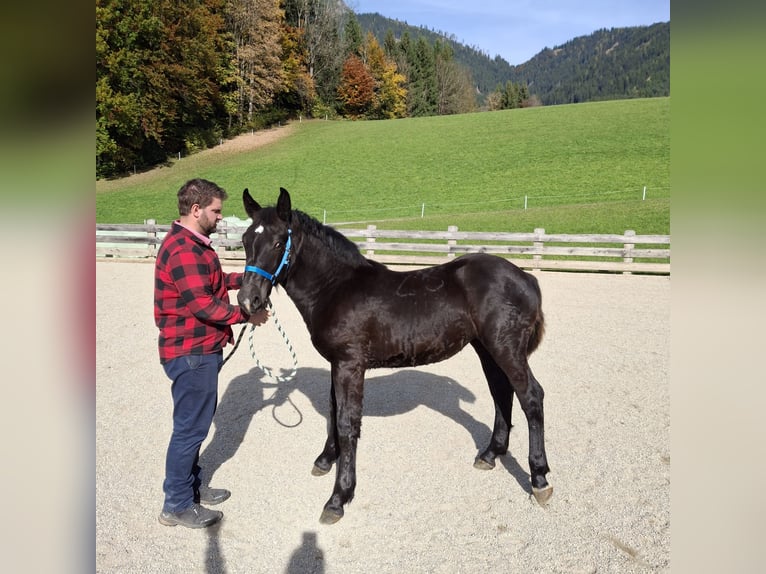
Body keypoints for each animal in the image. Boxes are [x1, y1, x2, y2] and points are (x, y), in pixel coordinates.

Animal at [237, 187, 552, 524]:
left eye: (278, 242)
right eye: (244, 240)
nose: (248, 300)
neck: (334, 288)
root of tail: (527, 278)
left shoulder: (350, 364)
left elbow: (347, 423)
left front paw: (338, 497)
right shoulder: (337, 364)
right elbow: (334, 412)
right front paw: (325, 460)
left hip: (506, 348)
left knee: (531, 396)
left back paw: (540, 479)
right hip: (487, 349)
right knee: (502, 393)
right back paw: (491, 454)